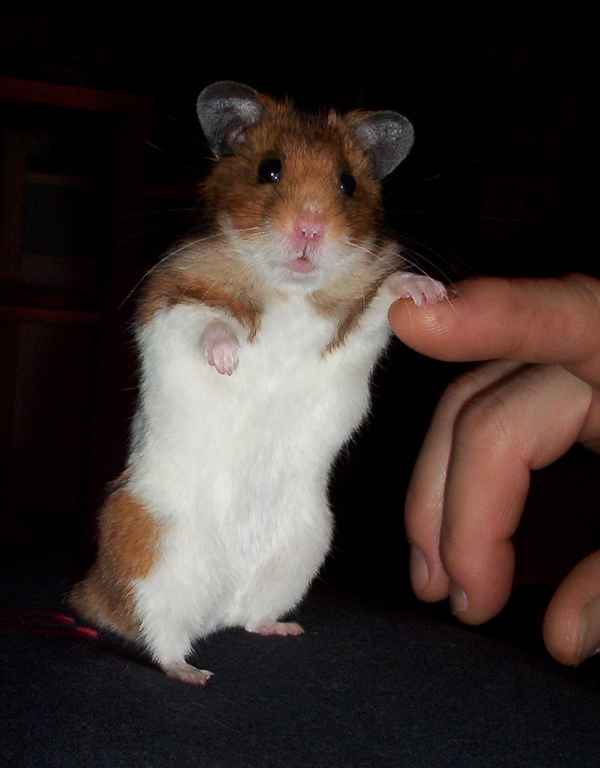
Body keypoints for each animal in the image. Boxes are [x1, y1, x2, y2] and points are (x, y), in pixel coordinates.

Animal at [69, 81, 447, 685]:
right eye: (269, 170)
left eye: (348, 182)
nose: (310, 230)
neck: (289, 287)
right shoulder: (168, 305)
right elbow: (207, 322)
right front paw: (230, 363)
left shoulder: (342, 341)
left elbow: (377, 307)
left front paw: (428, 292)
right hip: (152, 546)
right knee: (158, 636)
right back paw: (193, 675)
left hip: (302, 551)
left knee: (248, 618)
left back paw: (281, 629)